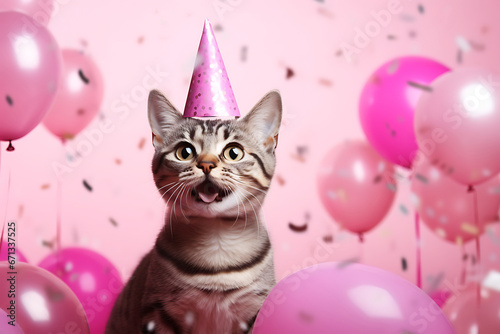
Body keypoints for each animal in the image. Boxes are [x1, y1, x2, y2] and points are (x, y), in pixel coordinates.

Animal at [106, 89, 284, 334]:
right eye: (185, 152)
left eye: (234, 152)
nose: (207, 164)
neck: (216, 239)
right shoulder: (159, 313)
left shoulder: (253, 311)